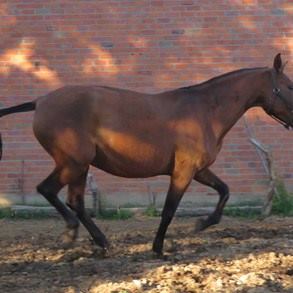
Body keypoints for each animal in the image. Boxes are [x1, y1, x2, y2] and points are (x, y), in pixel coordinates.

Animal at [0, 53, 292, 254]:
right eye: (289, 86)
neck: (205, 110)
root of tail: (40, 101)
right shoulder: (183, 171)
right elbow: (169, 210)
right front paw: (160, 247)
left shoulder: (199, 170)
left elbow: (225, 191)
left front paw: (199, 224)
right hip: (73, 164)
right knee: (49, 190)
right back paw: (72, 233)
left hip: (80, 167)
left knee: (76, 201)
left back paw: (102, 243)